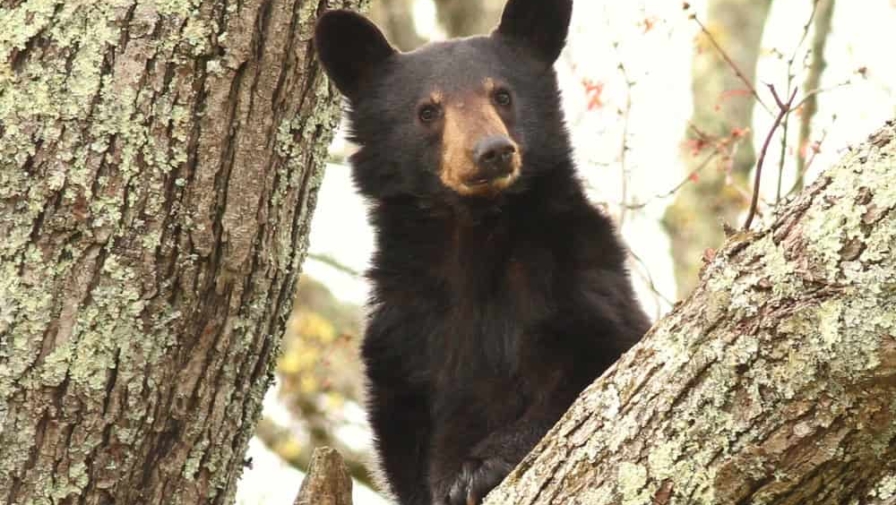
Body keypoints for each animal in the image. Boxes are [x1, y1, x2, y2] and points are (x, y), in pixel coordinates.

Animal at [314, 1, 651, 504]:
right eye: (428, 110)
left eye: (503, 95)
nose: (492, 151)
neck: (474, 232)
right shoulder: (404, 324)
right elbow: (404, 438)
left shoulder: (574, 270)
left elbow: (589, 363)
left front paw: (477, 468)